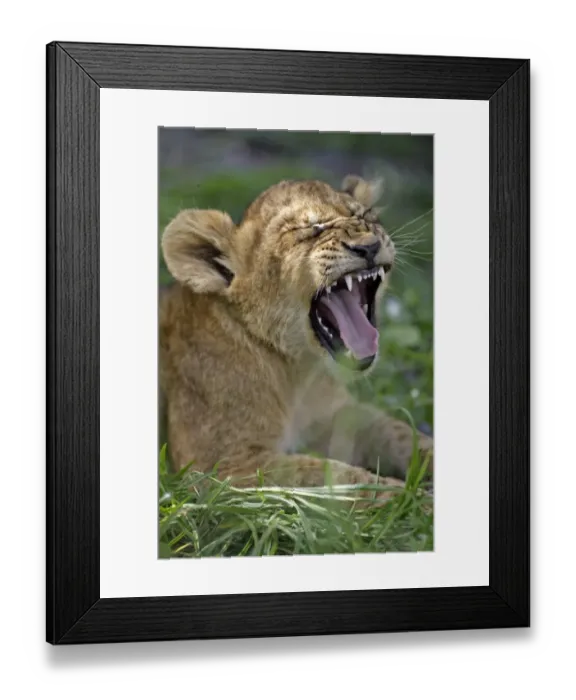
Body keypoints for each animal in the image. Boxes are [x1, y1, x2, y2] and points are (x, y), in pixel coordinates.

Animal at [159, 176, 433, 500]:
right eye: (311, 230)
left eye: (365, 217)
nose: (369, 246)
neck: (298, 370)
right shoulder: (219, 466)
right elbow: (334, 476)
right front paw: (414, 498)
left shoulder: (340, 416)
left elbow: (403, 434)